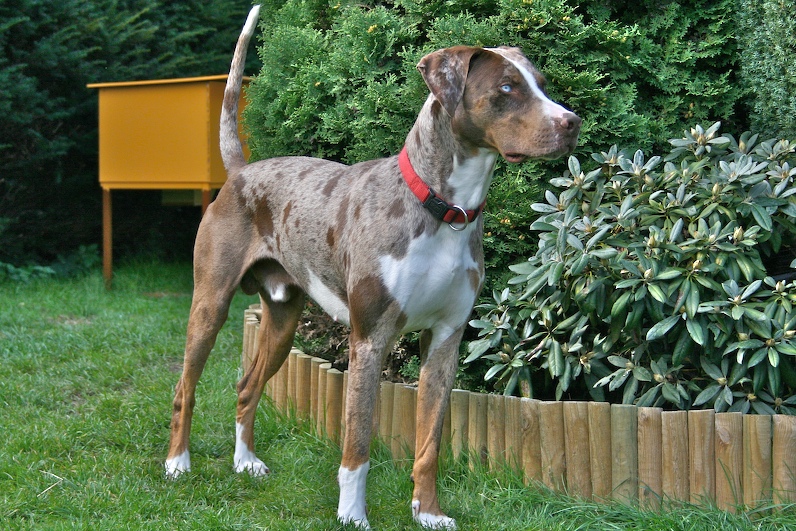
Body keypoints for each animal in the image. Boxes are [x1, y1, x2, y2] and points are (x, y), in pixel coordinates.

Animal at [166, 5, 580, 531]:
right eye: (507, 87)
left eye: (541, 83)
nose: (573, 122)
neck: (443, 211)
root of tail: (241, 171)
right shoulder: (370, 339)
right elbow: (357, 444)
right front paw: (352, 515)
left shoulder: (445, 341)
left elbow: (429, 444)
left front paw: (428, 512)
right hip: (210, 305)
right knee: (186, 386)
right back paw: (177, 462)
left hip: (282, 320)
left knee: (246, 387)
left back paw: (245, 461)